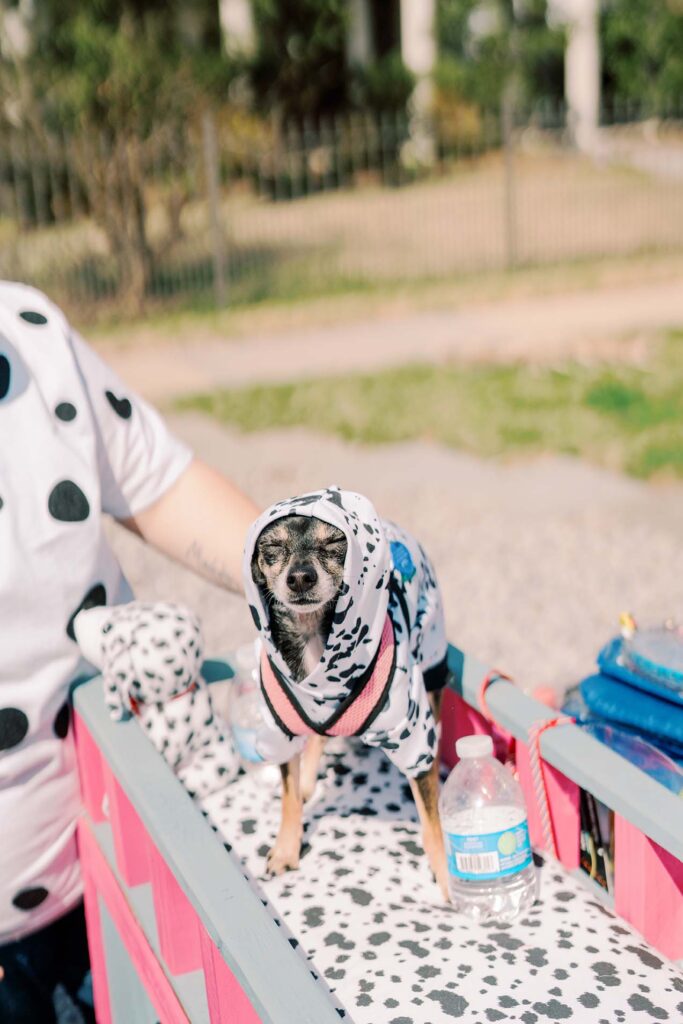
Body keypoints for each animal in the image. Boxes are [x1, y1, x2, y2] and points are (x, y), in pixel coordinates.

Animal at [244, 487, 448, 897]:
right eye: (273, 547)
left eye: (334, 544)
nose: (300, 577)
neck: (313, 638)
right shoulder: (282, 733)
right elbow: (288, 798)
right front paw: (286, 848)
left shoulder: (415, 739)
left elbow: (432, 823)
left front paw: (450, 881)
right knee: (318, 739)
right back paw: (309, 782)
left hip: (432, 661)